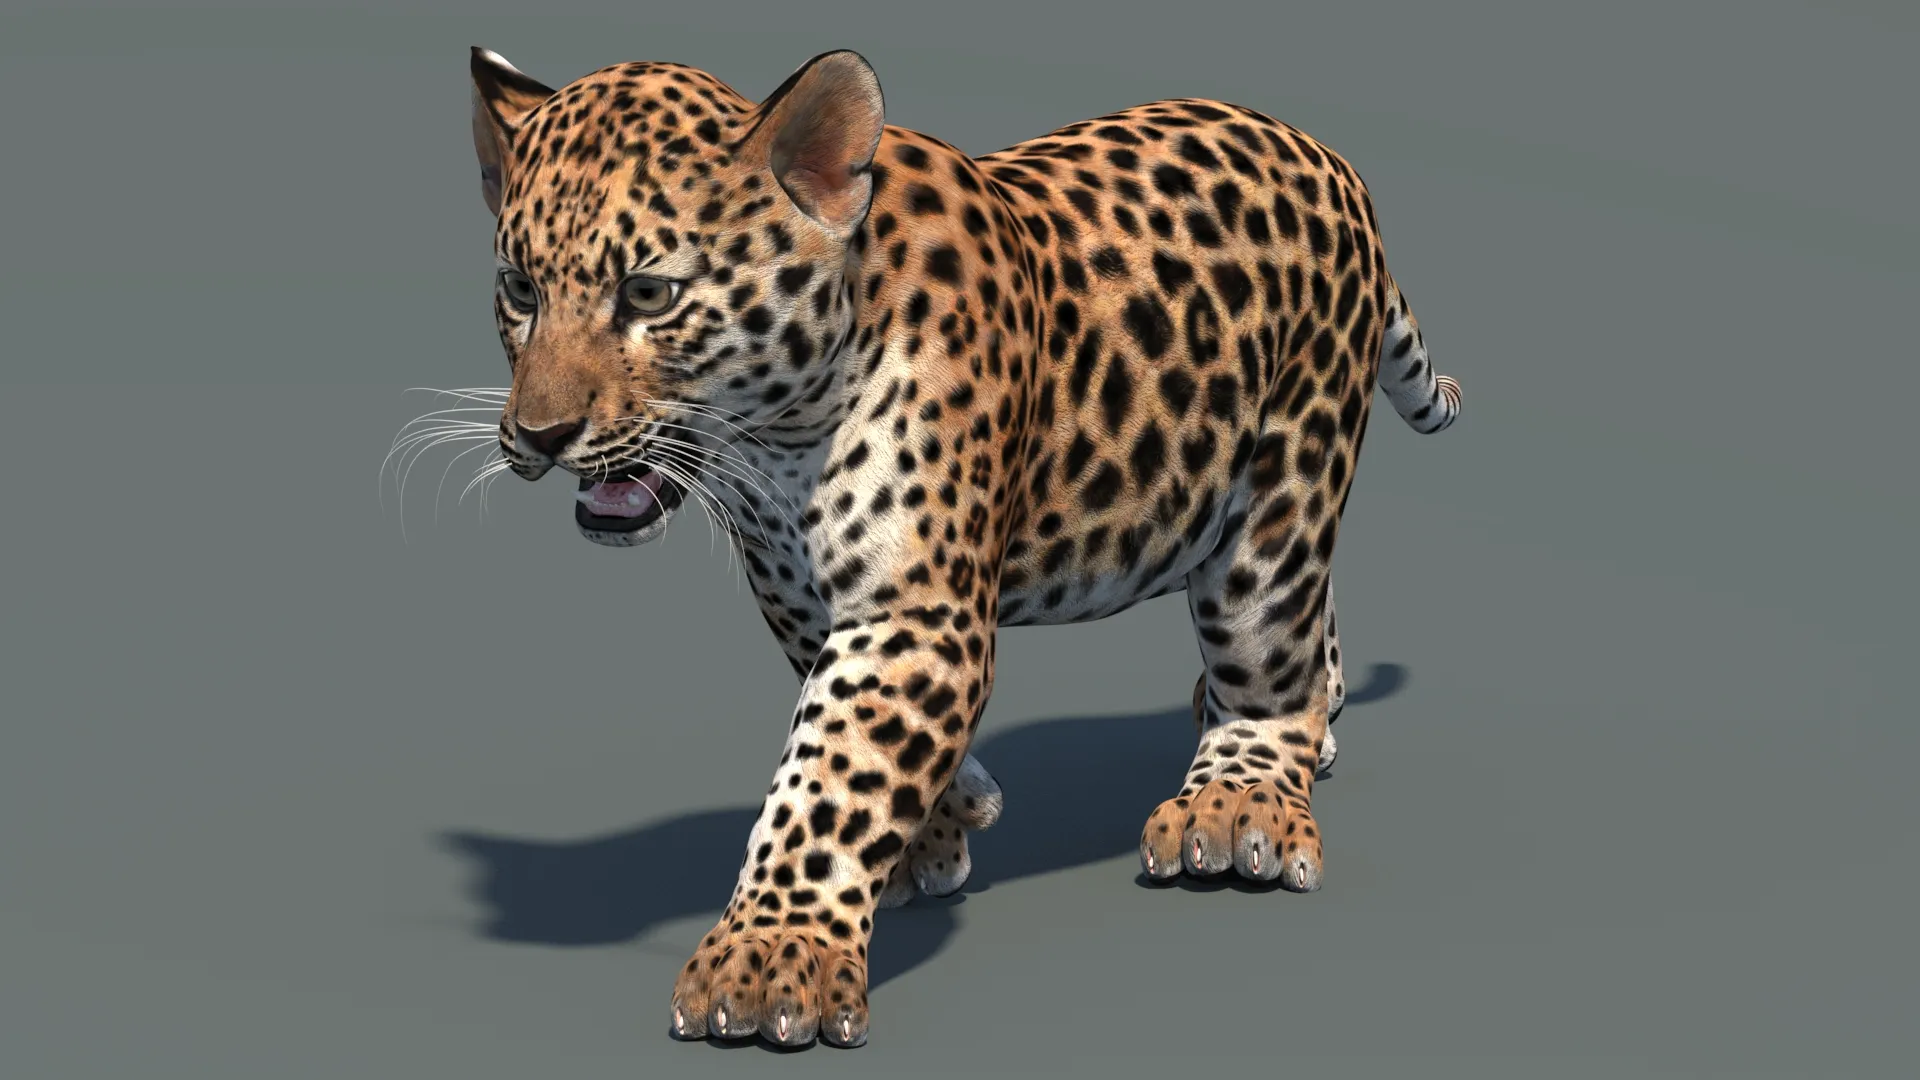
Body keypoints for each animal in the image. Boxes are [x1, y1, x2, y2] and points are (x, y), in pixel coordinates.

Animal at [461, 44, 1463, 1049]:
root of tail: (1324, 154)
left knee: (1268, 638)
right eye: (520, 291)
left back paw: (1241, 798)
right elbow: (852, 731)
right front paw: (942, 827)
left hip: (1285, 476)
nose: (539, 436)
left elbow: (830, 776)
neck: (776, 442)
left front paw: (772, 956)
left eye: (648, 293)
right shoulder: (798, 592)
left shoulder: (916, 613)